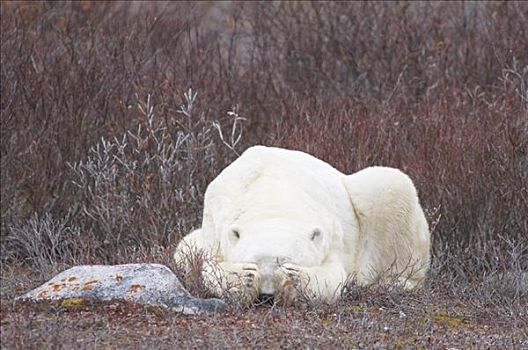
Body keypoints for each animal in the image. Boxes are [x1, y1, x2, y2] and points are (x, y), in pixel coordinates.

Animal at [173, 145, 428, 304]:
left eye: (285, 262)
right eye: (255, 262)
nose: (267, 296)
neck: (272, 197)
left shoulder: (330, 232)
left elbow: (333, 275)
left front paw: (296, 278)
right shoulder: (216, 223)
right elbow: (208, 266)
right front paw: (244, 276)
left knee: (392, 186)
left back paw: (391, 283)